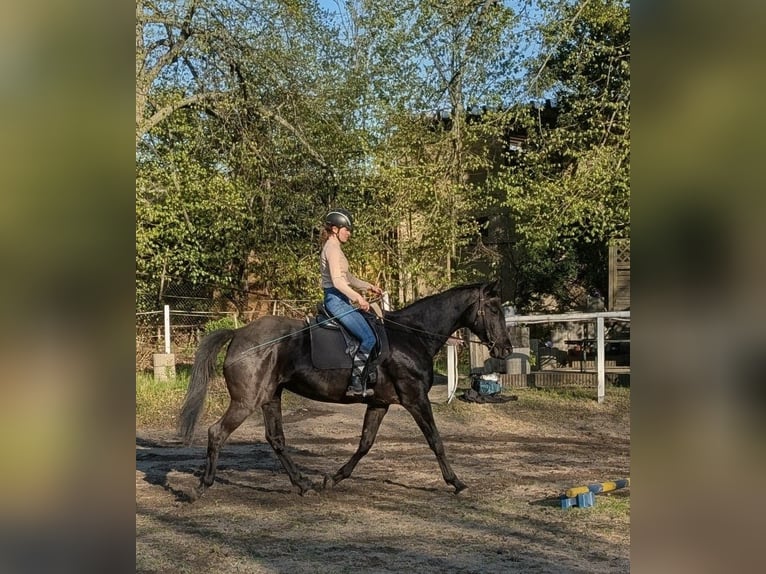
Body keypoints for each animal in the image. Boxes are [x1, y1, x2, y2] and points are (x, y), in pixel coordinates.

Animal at [178, 280, 513, 499]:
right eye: (494, 310)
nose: (506, 349)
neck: (412, 336)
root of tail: (239, 335)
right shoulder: (415, 398)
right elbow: (435, 441)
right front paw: (457, 483)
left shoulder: (379, 403)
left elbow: (365, 443)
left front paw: (334, 478)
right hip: (246, 400)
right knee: (217, 433)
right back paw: (202, 487)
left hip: (271, 396)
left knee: (276, 439)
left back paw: (303, 484)